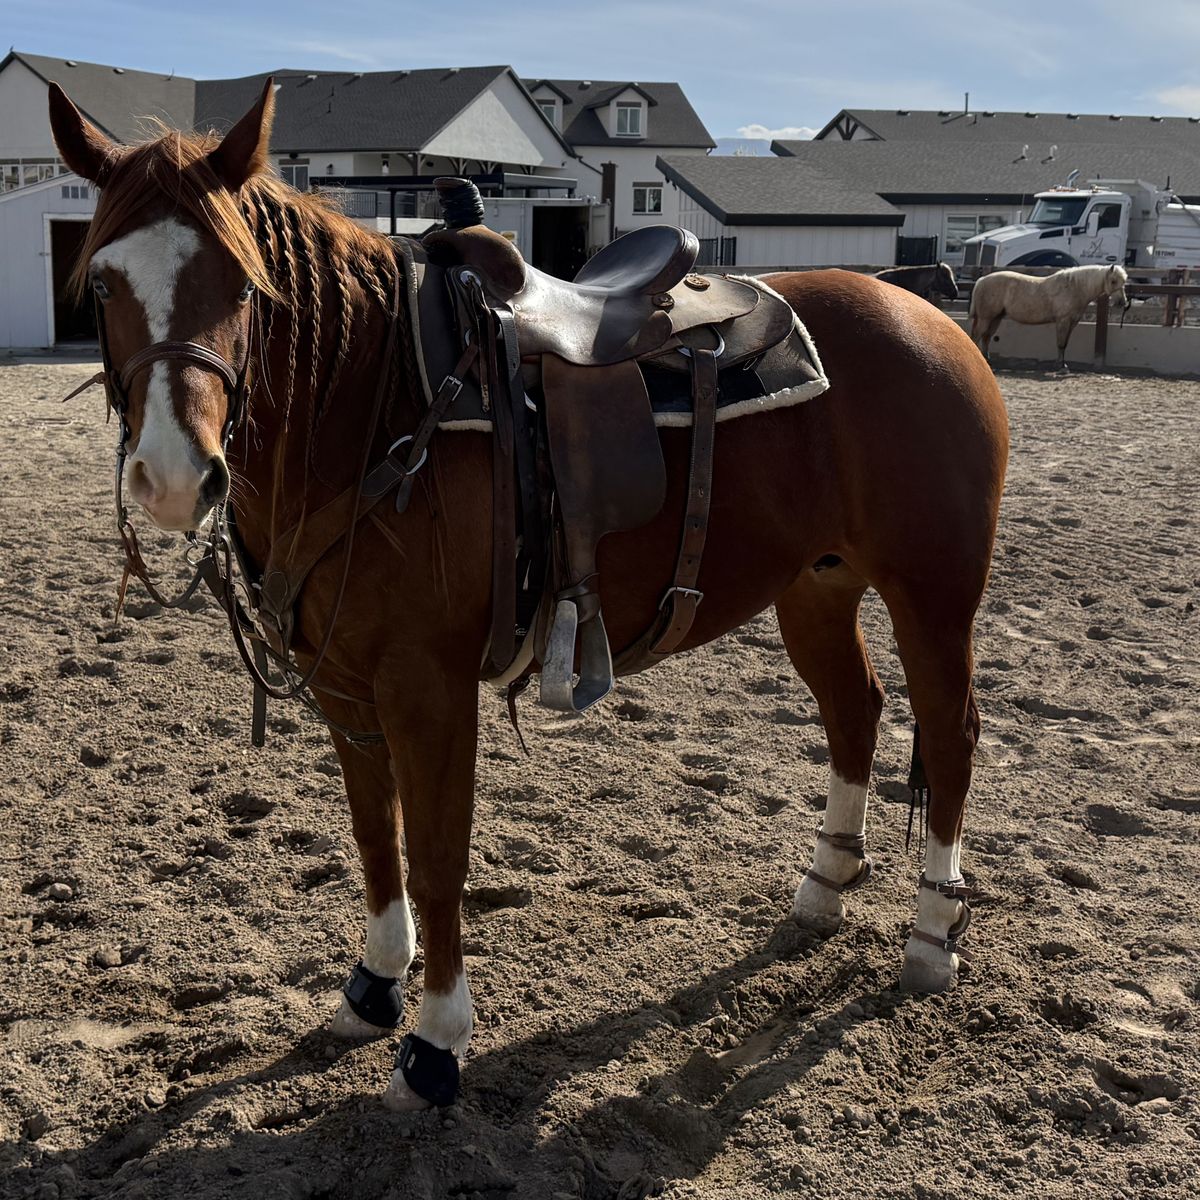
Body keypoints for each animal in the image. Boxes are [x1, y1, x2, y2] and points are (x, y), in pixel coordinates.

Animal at [48, 80, 1009, 1112]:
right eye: (101, 284)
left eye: (243, 284)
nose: (174, 478)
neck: (381, 402)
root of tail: (928, 314)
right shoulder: (342, 681)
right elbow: (375, 840)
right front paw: (373, 987)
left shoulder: (427, 688)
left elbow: (436, 857)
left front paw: (435, 1042)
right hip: (817, 590)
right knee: (854, 715)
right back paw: (825, 885)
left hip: (933, 594)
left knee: (950, 734)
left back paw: (930, 937)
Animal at [969, 263, 1129, 371]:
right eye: (1113, 281)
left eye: (1124, 282)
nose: (1122, 302)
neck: (1074, 287)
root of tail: (981, 280)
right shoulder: (1063, 321)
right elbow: (1061, 343)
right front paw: (1060, 366)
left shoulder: (1072, 323)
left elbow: (1065, 344)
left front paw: (1062, 364)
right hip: (986, 318)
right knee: (977, 336)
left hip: (995, 318)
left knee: (986, 337)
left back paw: (986, 359)